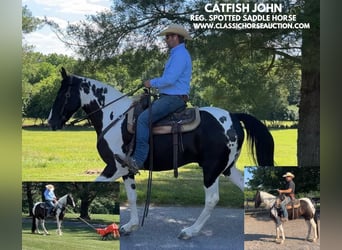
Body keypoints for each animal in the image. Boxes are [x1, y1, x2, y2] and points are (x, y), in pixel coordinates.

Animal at [47, 68, 276, 238]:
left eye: (64, 94)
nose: (51, 122)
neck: (114, 116)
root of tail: (234, 116)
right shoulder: (127, 170)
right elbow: (131, 196)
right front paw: (130, 226)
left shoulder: (114, 167)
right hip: (227, 168)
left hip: (211, 169)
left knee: (212, 199)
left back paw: (190, 231)